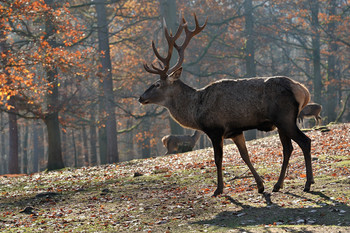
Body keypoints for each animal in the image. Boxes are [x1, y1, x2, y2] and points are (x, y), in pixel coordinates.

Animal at [139, 13, 314, 197]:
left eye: (157, 84)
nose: (141, 97)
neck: (197, 110)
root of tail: (303, 91)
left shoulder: (215, 129)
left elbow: (218, 159)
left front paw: (218, 189)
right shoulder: (235, 131)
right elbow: (245, 156)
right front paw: (260, 185)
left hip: (285, 118)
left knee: (305, 142)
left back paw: (308, 183)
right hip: (281, 123)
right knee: (288, 148)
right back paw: (278, 185)